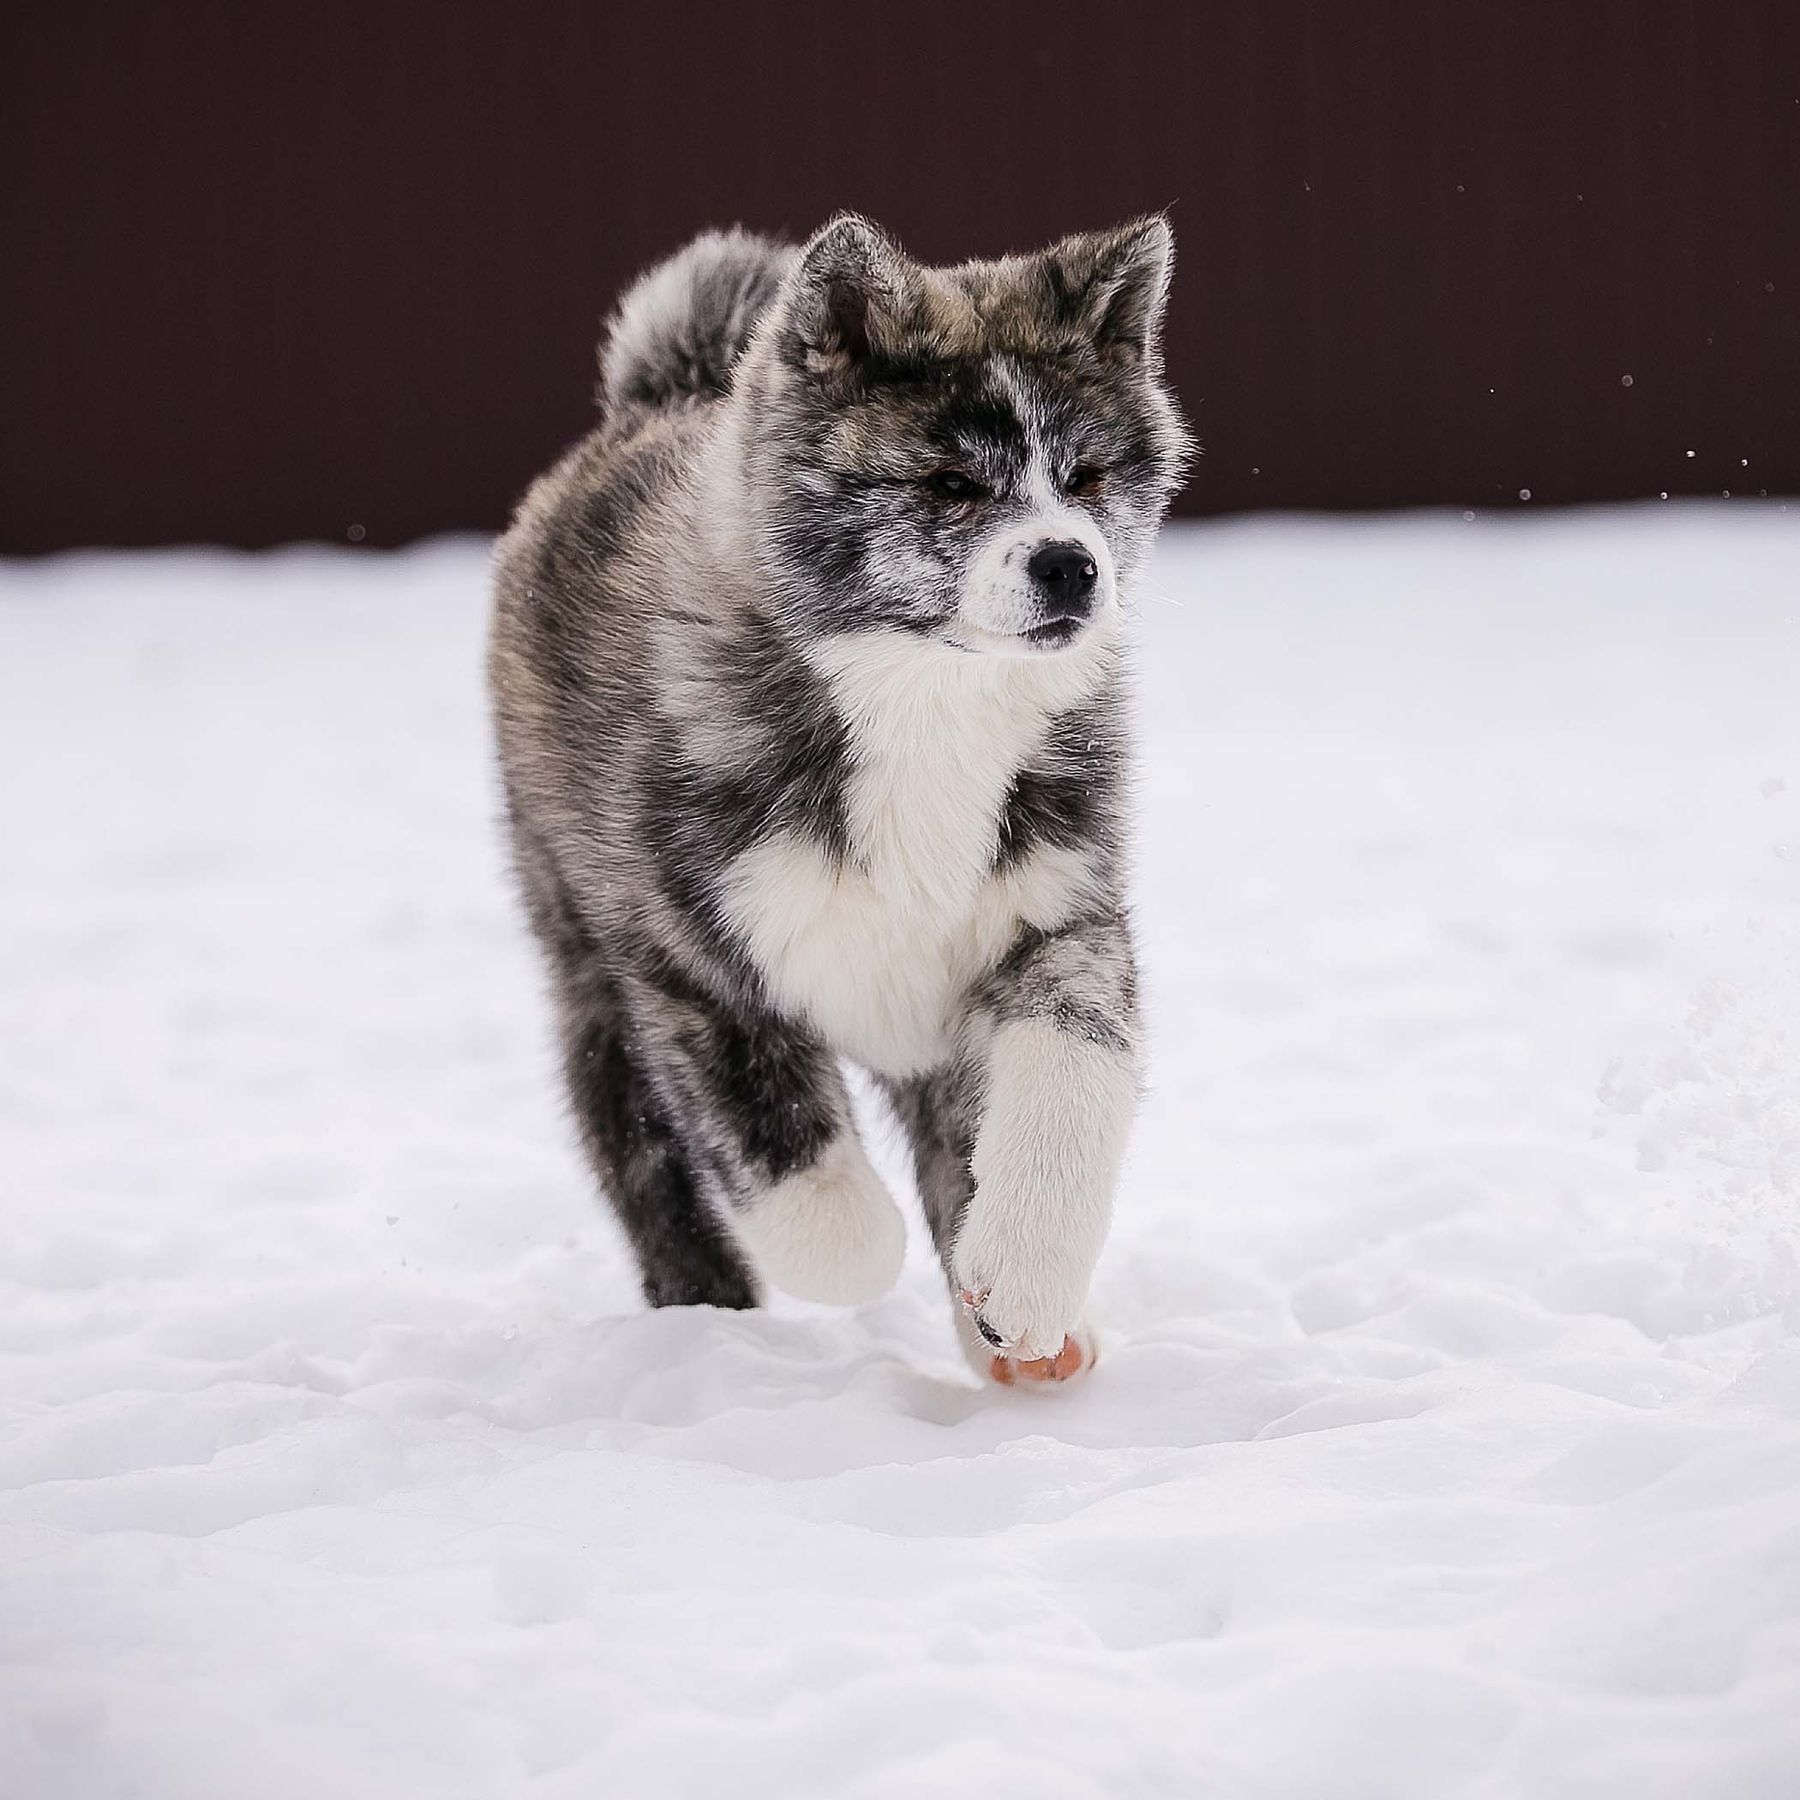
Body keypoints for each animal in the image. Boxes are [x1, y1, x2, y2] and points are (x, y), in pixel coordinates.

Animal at [493, 217, 1195, 1382]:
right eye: (952, 484)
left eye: (1088, 475)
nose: (1070, 566)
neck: (923, 704)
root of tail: (654, 396)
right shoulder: (689, 964)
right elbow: (779, 1140)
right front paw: (852, 1248)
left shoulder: (1059, 916)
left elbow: (1071, 1082)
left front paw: (1019, 1284)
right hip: (580, 954)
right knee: (638, 1150)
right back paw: (701, 1310)